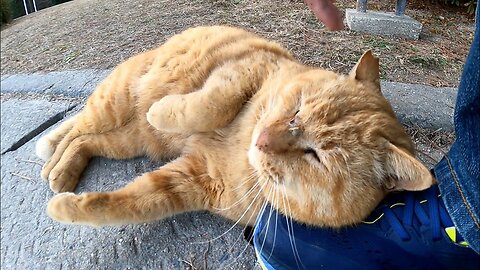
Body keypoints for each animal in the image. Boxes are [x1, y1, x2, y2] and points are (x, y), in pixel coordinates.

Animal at [37, 25, 436, 228]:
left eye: (316, 156)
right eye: (296, 110)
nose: (262, 140)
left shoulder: (187, 183)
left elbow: (127, 204)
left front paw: (67, 210)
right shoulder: (244, 71)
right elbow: (208, 104)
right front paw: (163, 111)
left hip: (129, 140)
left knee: (85, 141)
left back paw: (61, 174)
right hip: (115, 104)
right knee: (74, 129)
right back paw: (50, 159)